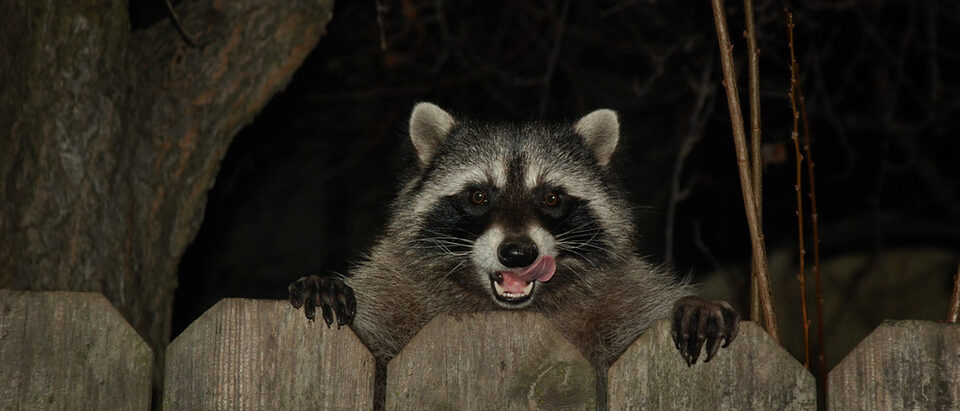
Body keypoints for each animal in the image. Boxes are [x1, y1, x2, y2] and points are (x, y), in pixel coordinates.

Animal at [289, 103, 739, 402]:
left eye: (552, 197)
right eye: (478, 195)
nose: (519, 254)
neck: (507, 312)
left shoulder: (619, 294)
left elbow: (644, 310)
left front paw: (693, 304)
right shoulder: (397, 286)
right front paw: (328, 285)